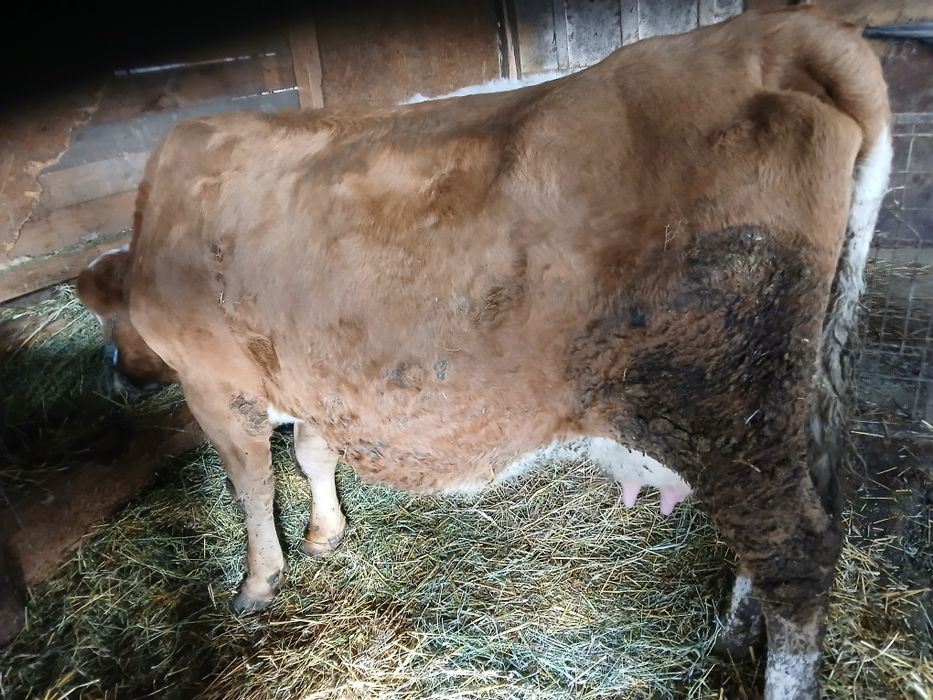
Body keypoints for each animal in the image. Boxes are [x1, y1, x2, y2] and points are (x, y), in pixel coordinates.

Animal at [75, 7, 891, 699]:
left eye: (109, 326)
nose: (113, 376)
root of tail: (774, 35)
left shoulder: (214, 383)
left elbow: (251, 484)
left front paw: (257, 581)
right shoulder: (310, 373)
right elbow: (312, 452)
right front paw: (326, 533)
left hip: (724, 396)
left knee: (793, 554)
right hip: (800, 393)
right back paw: (731, 632)